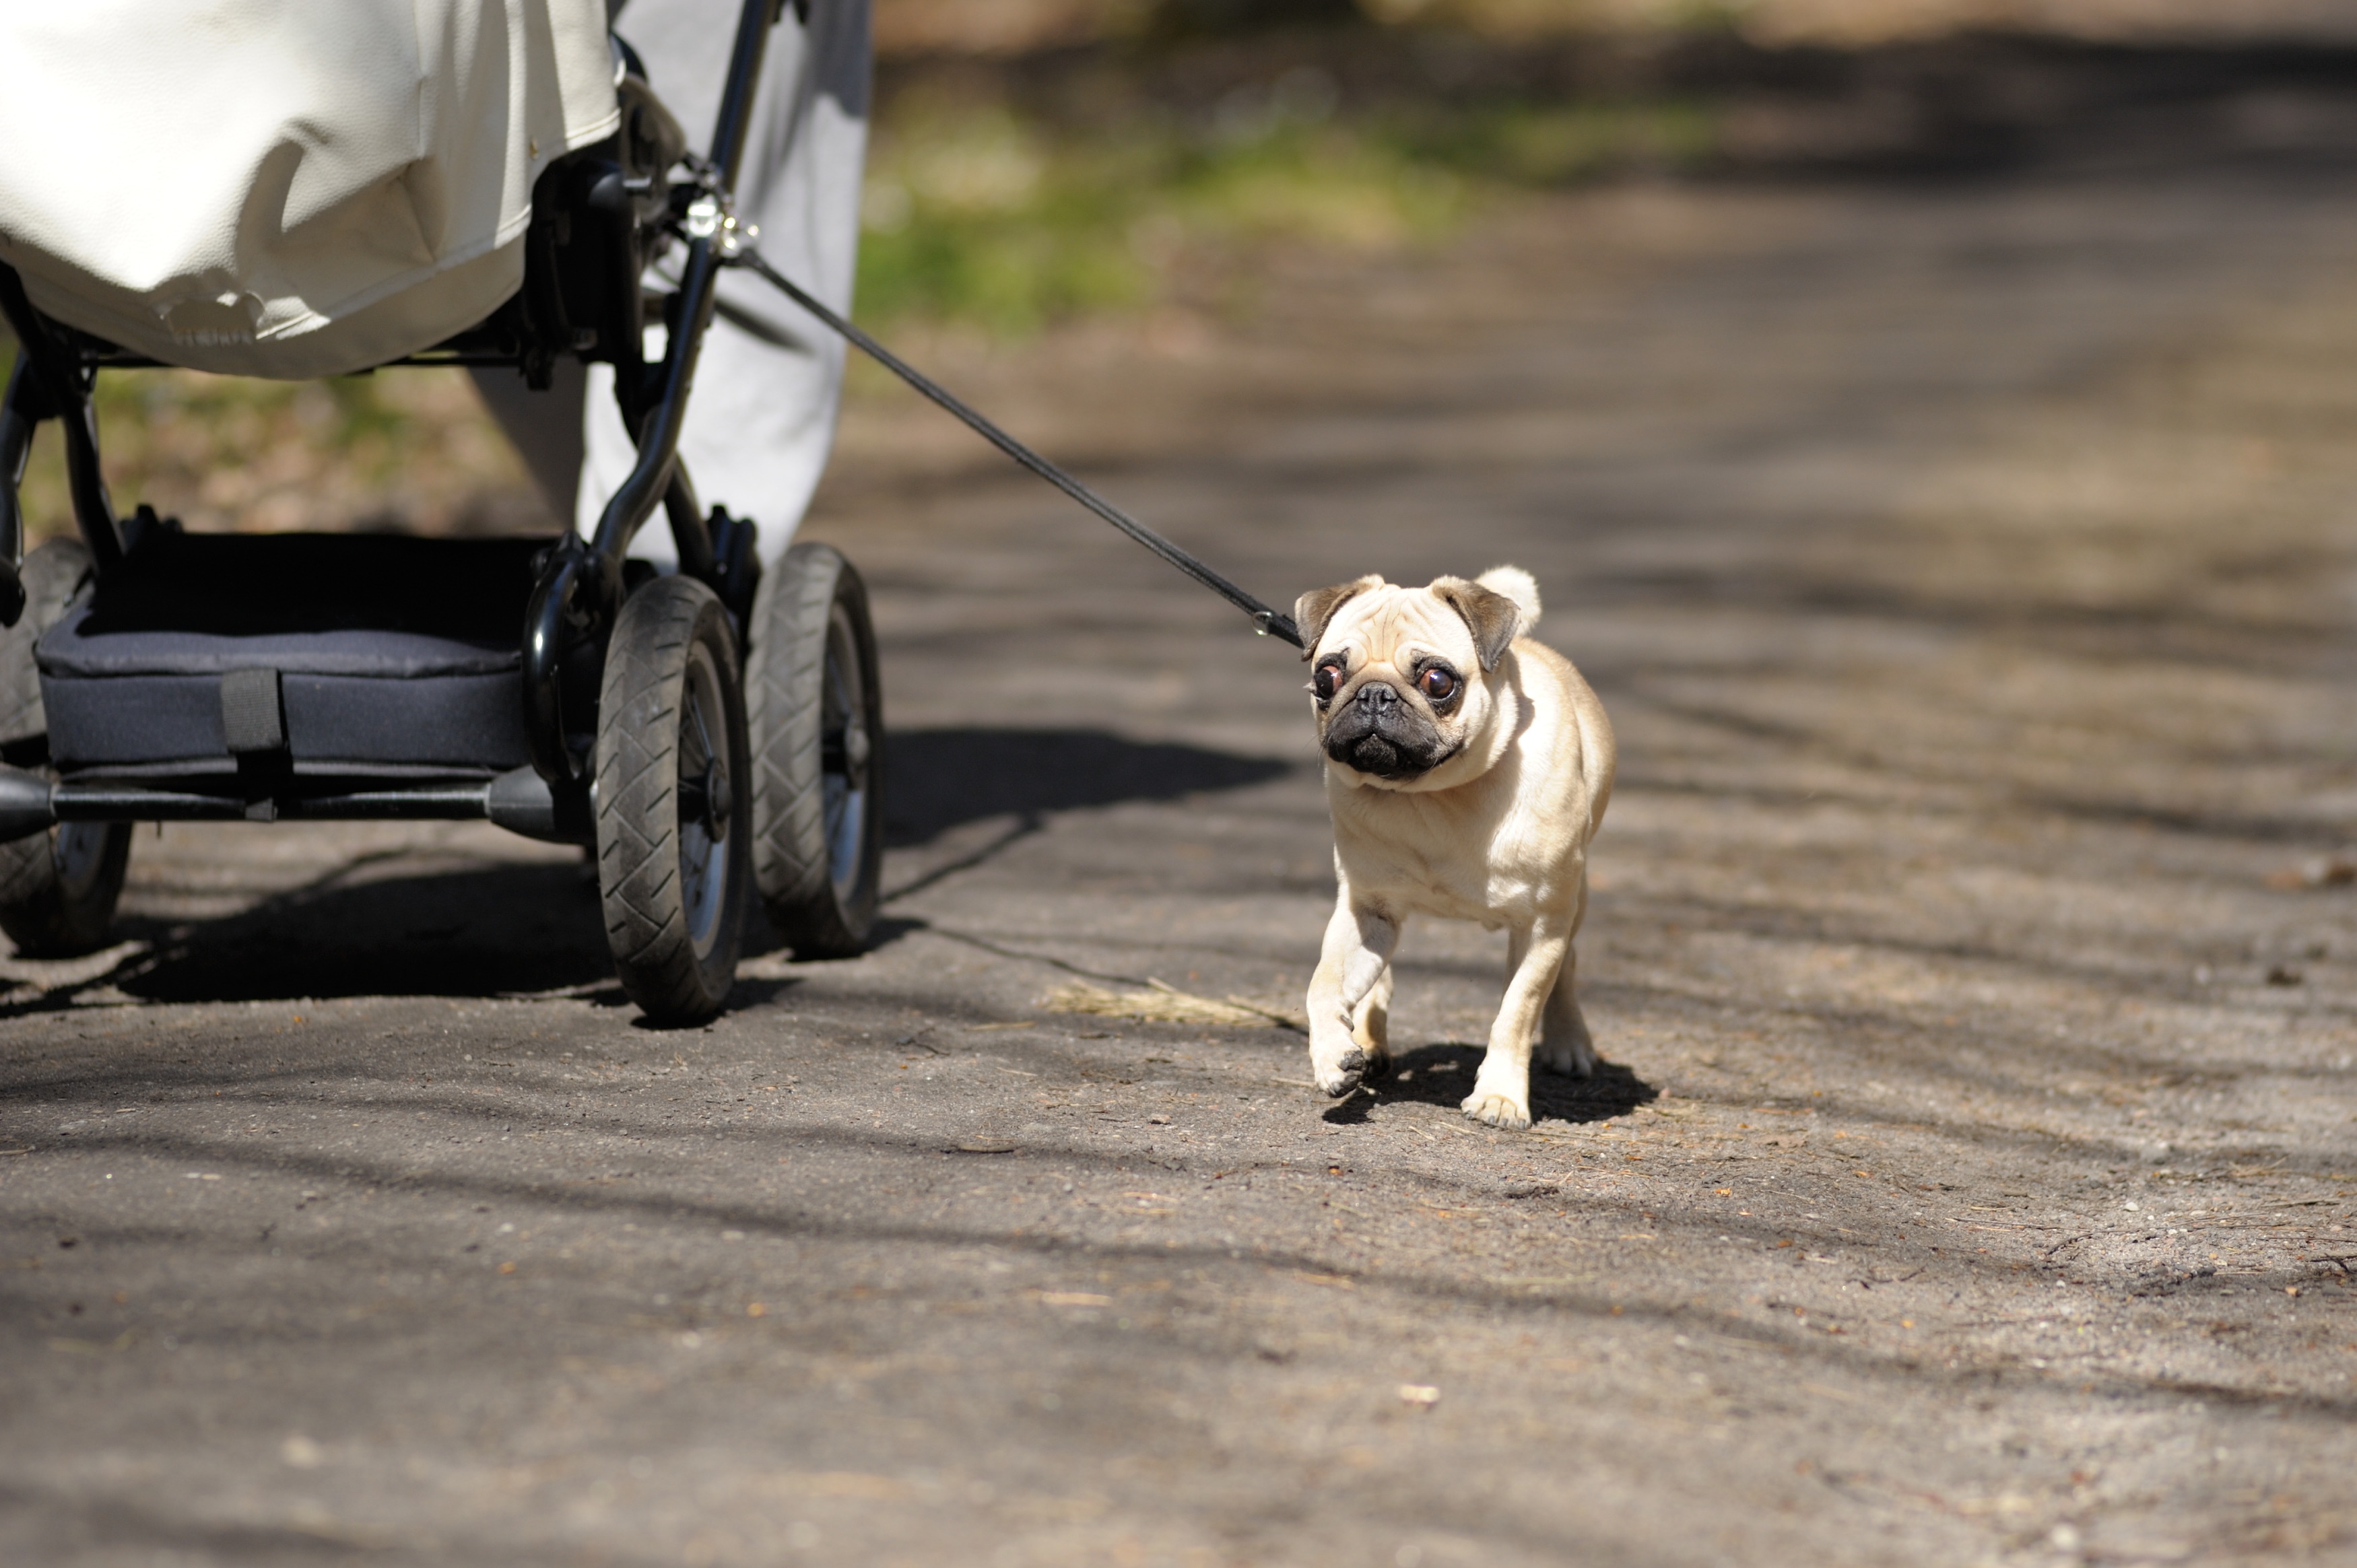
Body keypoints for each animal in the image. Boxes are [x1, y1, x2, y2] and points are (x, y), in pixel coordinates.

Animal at [1301, 564, 1612, 1127]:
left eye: (1438, 682)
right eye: (1326, 678)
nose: (1374, 694)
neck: (1434, 795)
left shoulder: (1542, 926)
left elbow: (1517, 1010)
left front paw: (1500, 1096)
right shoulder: (1365, 912)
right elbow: (1323, 985)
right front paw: (1333, 1056)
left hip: (1571, 905)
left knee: (1564, 972)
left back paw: (1569, 1042)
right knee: (1377, 984)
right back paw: (1368, 1043)